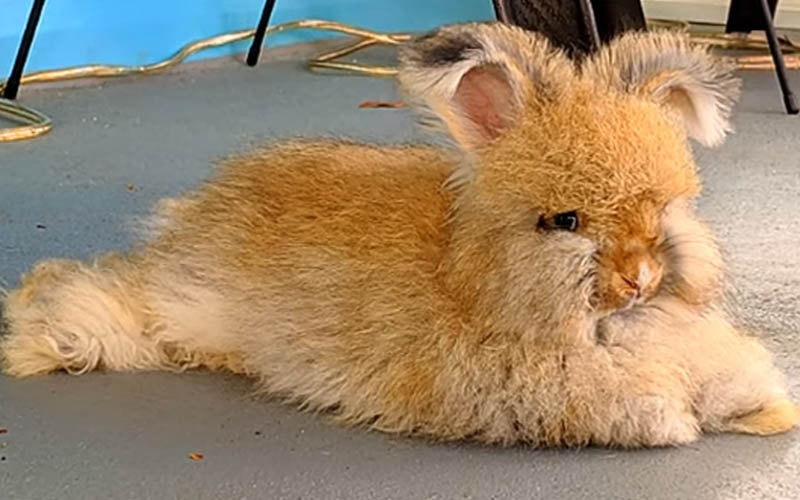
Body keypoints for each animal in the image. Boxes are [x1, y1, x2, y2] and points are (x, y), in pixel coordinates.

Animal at [1, 22, 797, 448]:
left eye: (665, 211)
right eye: (564, 221)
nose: (641, 279)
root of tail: (187, 221)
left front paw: (771, 411)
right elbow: (646, 403)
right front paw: (680, 419)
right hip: (179, 306)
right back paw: (42, 338)